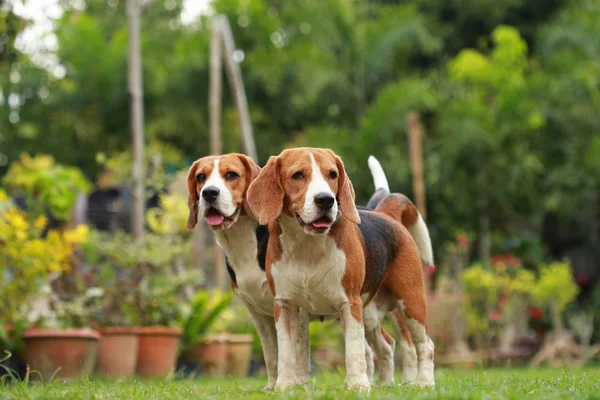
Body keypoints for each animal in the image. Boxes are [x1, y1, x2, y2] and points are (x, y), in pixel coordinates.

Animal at [184, 152, 390, 388]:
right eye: (201, 177)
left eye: (231, 175)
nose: (209, 193)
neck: (244, 243)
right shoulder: (259, 314)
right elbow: (273, 354)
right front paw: (274, 385)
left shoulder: (297, 308)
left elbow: (297, 352)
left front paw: (298, 383)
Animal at [246, 148, 434, 390]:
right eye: (298, 175)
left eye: (332, 174)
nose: (326, 200)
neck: (307, 247)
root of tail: (385, 214)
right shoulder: (284, 305)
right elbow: (286, 353)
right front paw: (284, 387)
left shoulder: (349, 304)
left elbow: (354, 352)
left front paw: (358, 387)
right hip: (371, 314)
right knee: (385, 345)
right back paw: (385, 385)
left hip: (410, 303)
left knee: (425, 345)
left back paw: (424, 383)